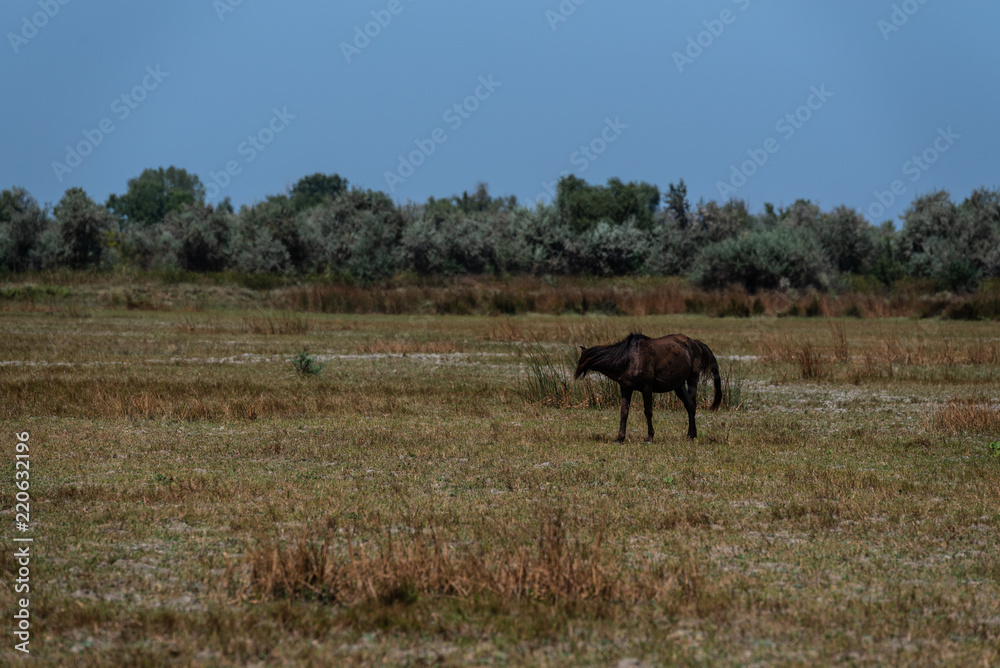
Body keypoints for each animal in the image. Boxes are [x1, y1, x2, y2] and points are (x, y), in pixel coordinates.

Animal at [576, 332, 724, 440]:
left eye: (580, 361)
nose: (576, 375)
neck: (629, 358)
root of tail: (696, 343)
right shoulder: (626, 389)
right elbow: (624, 412)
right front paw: (620, 438)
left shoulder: (646, 388)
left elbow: (648, 411)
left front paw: (650, 436)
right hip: (679, 385)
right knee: (689, 405)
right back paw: (691, 434)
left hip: (692, 379)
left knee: (692, 404)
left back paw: (691, 435)